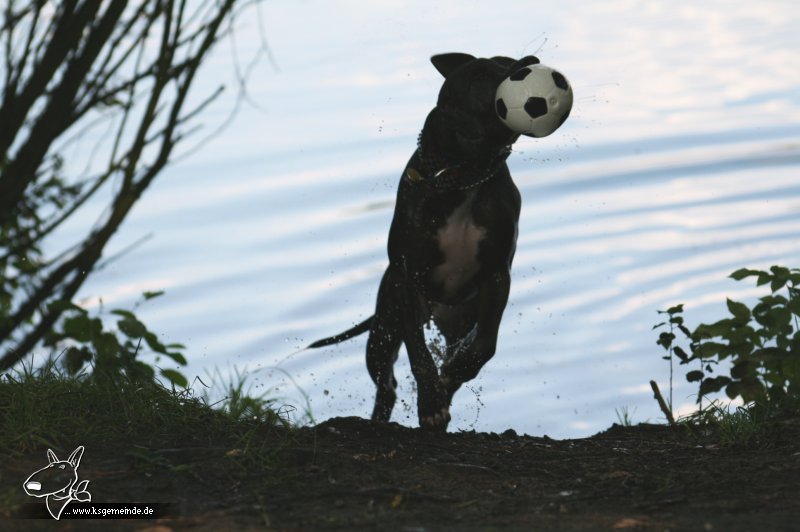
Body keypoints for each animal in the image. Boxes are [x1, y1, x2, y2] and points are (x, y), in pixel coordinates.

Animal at [310, 52, 540, 430]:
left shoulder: (497, 275)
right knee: (387, 383)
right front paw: (430, 400)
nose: (530, 60)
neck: (463, 180)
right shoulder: (407, 278)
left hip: (458, 318)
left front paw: (453, 375)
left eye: (504, 60)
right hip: (384, 327)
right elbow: (418, 353)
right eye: (482, 77)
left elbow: (484, 346)